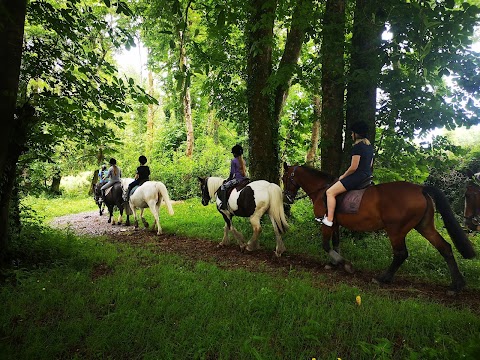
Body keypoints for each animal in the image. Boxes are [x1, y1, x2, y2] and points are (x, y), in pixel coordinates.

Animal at [284, 163, 474, 292]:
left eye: (286, 178)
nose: (287, 198)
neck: (322, 190)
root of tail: (420, 189)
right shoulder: (335, 224)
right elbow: (336, 243)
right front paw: (334, 263)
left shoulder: (327, 223)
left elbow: (325, 244)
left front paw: (344, 264)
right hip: (424, 226)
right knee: (445, 247)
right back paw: (457, 285)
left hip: (396, 230)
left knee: (401, 253)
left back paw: (383, 278)